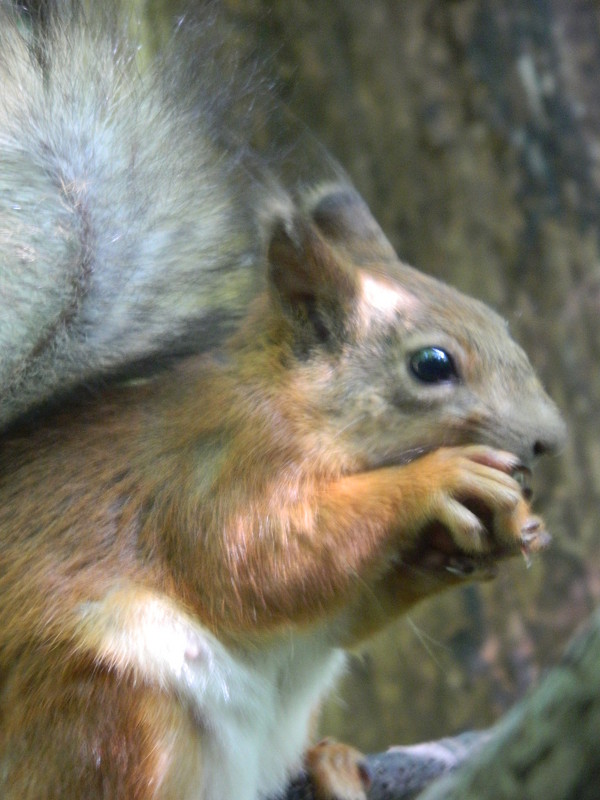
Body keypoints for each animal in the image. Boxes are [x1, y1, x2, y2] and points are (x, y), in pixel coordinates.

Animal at [0, 1, 568, 800]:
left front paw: (501, 536)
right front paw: (436, 480)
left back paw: (332, 769)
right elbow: (264, 560)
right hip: (104, 704)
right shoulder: (215, 470)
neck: (297, 407)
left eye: (499, 321)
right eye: (432, 365)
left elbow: (343, 607)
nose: (551, 439)